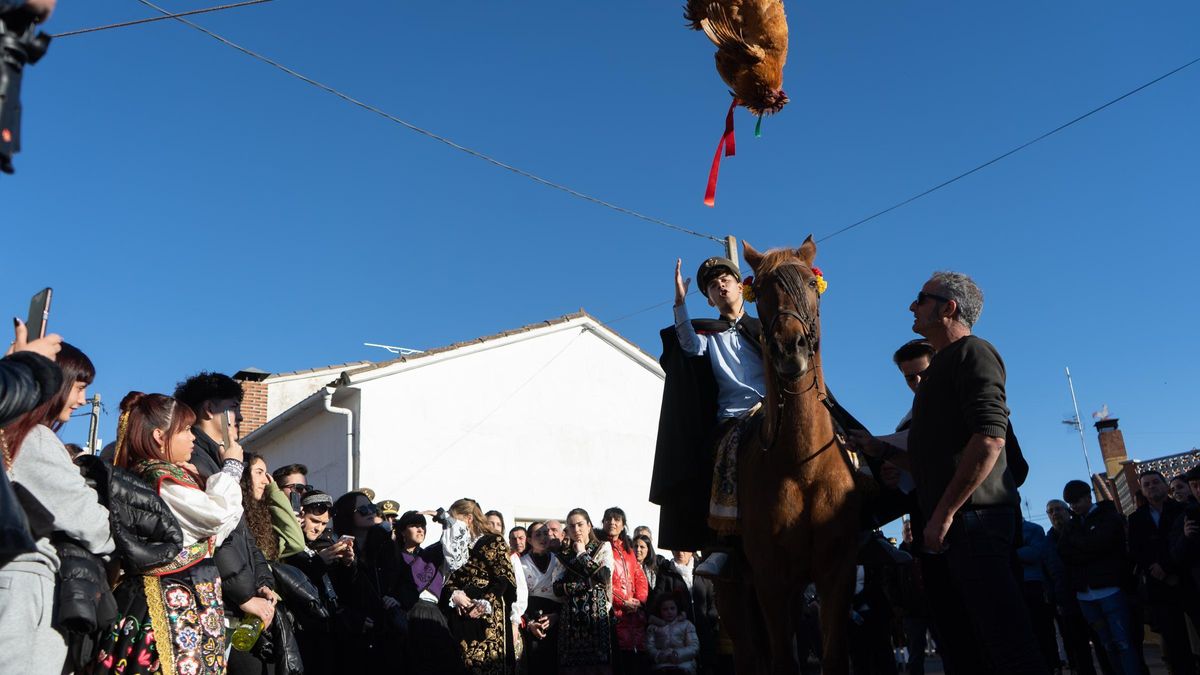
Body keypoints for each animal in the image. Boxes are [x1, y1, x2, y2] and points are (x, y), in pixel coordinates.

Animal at [710, 236, 864, 672]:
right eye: (760, 290)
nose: (789, 348)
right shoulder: (770, 579)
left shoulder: (837, 572)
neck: (802, 466)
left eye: (812, 286)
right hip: (734, 594)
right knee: (748, 655)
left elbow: (833, 656)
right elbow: (781, 660)